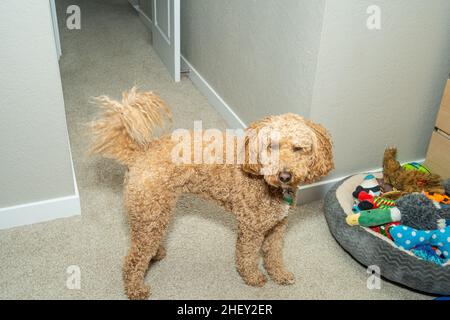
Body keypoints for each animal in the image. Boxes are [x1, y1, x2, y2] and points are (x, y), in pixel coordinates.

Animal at [89, 86, 334, 298]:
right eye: (270, 146)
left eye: (298, 148)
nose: (284, 175)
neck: (263, 180)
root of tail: (139, 153)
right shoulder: (252, 228)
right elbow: (247, 256)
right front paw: (253, 278)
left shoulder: (277, 226)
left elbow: (274, 254)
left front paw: (280, 275)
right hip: (151, 214)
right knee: (133, 259)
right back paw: (136, 289)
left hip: (153, 215)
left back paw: (155, 255)